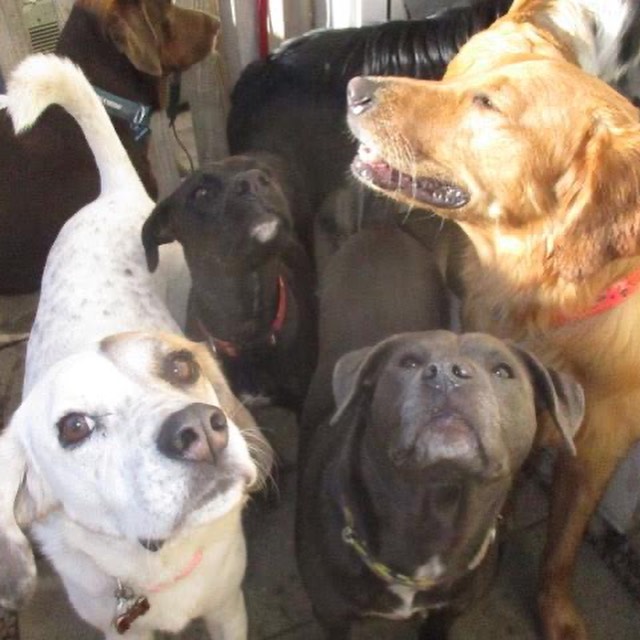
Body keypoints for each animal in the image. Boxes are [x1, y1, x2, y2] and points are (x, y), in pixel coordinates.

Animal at [0, 54, 271, 639]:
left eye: (181, 366)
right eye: (73, 427)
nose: (201, 432)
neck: (160, 564)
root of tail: (114, 193)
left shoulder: (228, 606)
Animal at [297, 228, 584, 639]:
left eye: (503, 371)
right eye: (407, 363)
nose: (449, 373)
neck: (435, 519)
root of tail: (381, 230)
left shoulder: (449, 611)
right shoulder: (332, 615)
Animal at [346, 9, 640, 638]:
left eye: (486, 103)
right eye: (465, 88)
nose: (355, 89)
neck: (550, 311)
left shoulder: (599, 448)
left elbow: (562, 548)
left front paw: (557, 612)